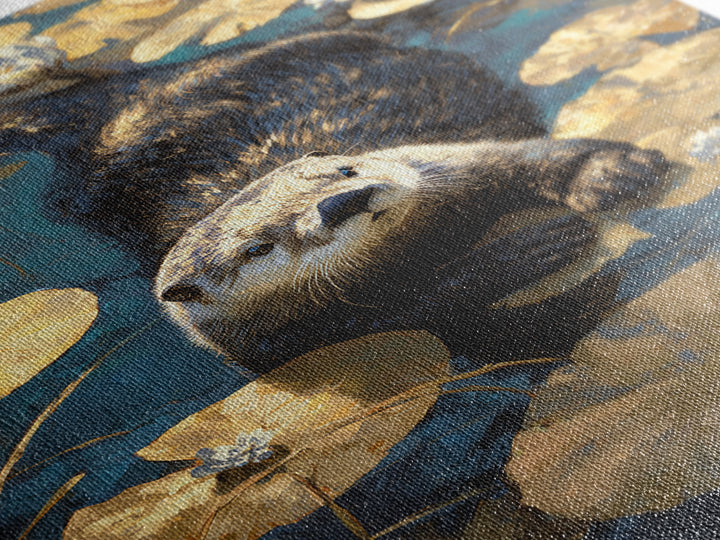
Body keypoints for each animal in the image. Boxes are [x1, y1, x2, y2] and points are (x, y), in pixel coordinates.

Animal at [156, 141, 668, 373]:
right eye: (257, 247)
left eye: (346, 171)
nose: (345, 201)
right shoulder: (305, 338)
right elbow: (423, 314)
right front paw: (529, 250)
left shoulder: (442, 163)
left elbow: (514, 156)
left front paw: (608, 172)